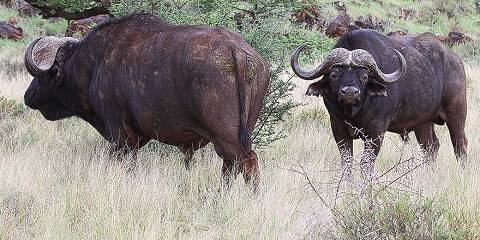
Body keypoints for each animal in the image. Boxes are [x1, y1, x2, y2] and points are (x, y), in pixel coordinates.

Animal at [23, 13, 270, 188]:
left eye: (43, 76)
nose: (27, 96)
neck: (94, 64)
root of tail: (237, 51)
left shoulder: (122, 137)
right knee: (232, 166)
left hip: (227, 138)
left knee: (246, 162)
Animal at [290, 29, 466, 181]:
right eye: (334, 74)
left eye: (364, 76)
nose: (349, 92)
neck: (354, 113)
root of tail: (455, 60)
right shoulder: (338, 127)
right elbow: (347, 162)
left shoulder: (376, 130)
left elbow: (366, 163)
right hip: (423, 123)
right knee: (431, 147)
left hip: (456, 114)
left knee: (460, 145)